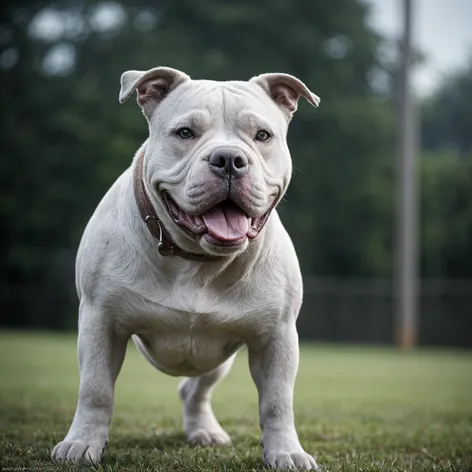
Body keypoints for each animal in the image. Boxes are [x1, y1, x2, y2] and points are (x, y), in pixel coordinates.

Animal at [50, 65, 320, 468]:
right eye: (185, 133)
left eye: (262, 135)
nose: (228, 158)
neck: (197, 259)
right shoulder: (101, 322)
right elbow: (96, 389)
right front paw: (82, 444)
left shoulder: (277, 337)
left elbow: (277, 401)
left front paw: (286, 451)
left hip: (219, 359)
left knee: (195, 390)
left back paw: (204, 430)